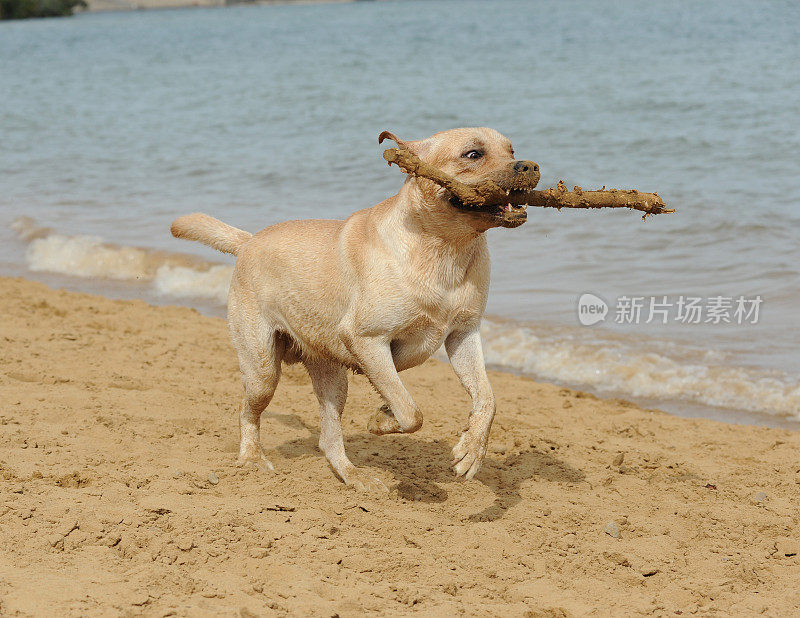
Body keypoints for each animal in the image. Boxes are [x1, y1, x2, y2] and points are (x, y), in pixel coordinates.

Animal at [172, 126, 540, 490]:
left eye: (511, 150)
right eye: (473, 154)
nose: (531, 165)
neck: (444, 248)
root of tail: (248, 241)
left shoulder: (463, 334)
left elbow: (487, 399)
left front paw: (471, 450)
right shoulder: (367, 339)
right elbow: (411, 411)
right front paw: (382, 420)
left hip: (332, 377)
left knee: (328, 438)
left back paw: (354, 476)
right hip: (262, 369)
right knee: (247, 410)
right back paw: (251, 458)